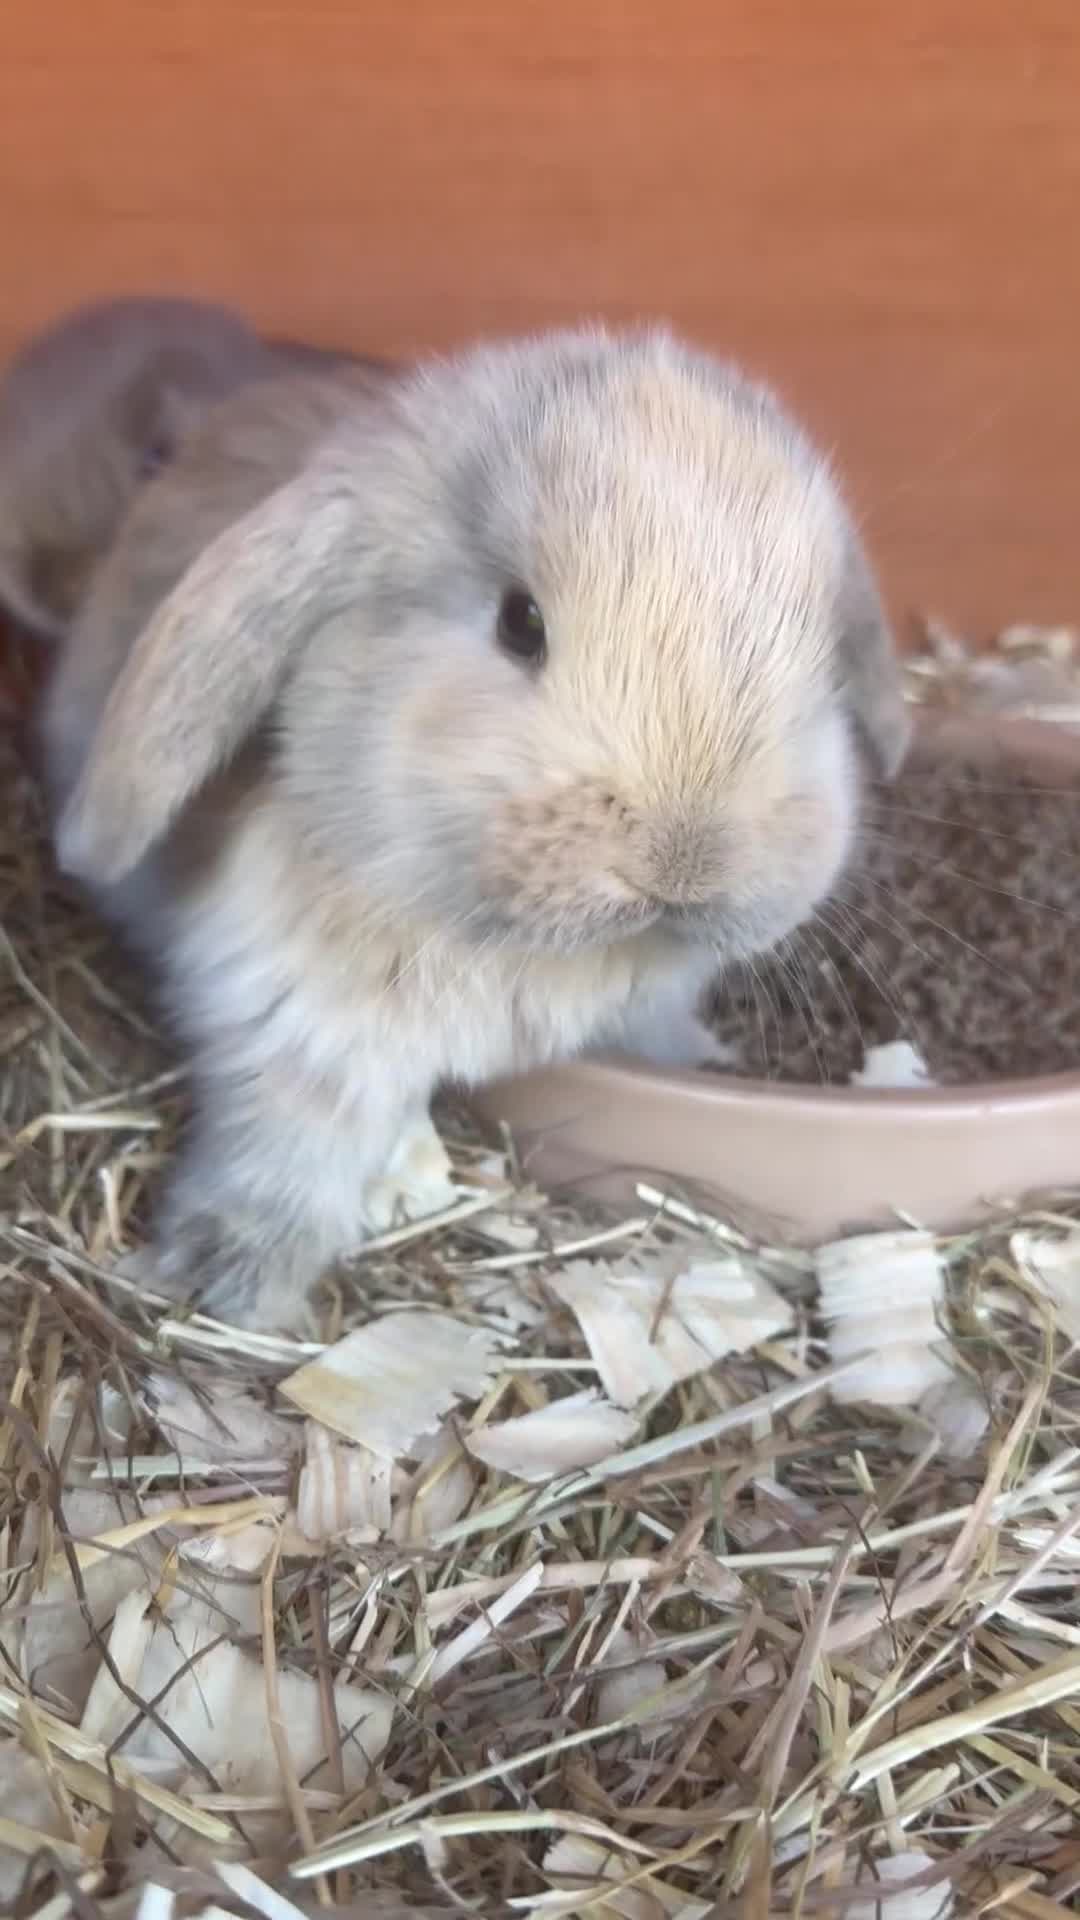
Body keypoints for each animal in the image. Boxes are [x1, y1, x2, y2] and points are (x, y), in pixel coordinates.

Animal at [45, 325, 909, 1330]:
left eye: (820, 654)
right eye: (518, 621)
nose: (684, 864)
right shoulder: (297, 1019)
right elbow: (290, 1144)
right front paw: (230, 1280)